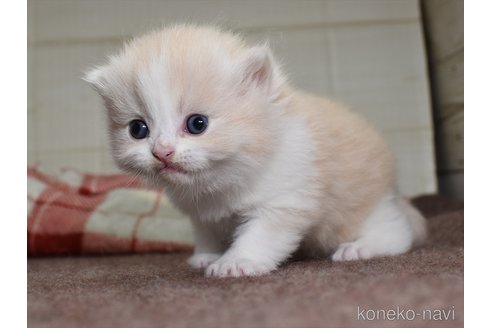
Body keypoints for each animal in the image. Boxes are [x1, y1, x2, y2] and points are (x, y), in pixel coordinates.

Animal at [82, 24, 424, 278]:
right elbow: (206, 233)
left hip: (361, 208)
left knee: (399, 231)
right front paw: (207, 256)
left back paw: (361, 247)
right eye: (137, 129)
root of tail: (394, 190)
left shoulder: (284, 200)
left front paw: (235, 262)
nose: (162, 152)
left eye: (197, 124)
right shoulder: (203, 214)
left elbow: (260, 235)